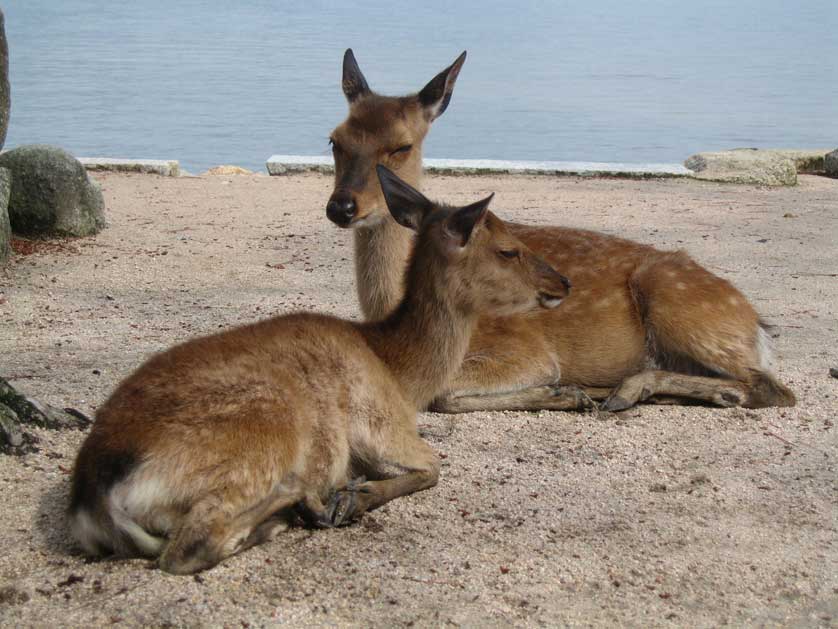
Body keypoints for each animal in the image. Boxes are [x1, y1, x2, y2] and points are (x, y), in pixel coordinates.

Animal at [70, 163, 572, 576]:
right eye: (509, 250)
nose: (563, 281)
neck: (399, 371)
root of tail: (94, 497)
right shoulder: (383, 421)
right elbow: (434, 466)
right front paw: (356, 496)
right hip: (260, 432)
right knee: (190, 546)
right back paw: (302, 502)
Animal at [324, 49, 796, 412]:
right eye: (334, 140)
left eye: (402, 145)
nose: (342, 206)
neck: (390, 312)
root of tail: (757, 324)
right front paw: (570, 393)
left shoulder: (525, 348)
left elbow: (443, 394)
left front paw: (564, 392)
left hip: (679, 305)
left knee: (773, 388)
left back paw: (630, 391)